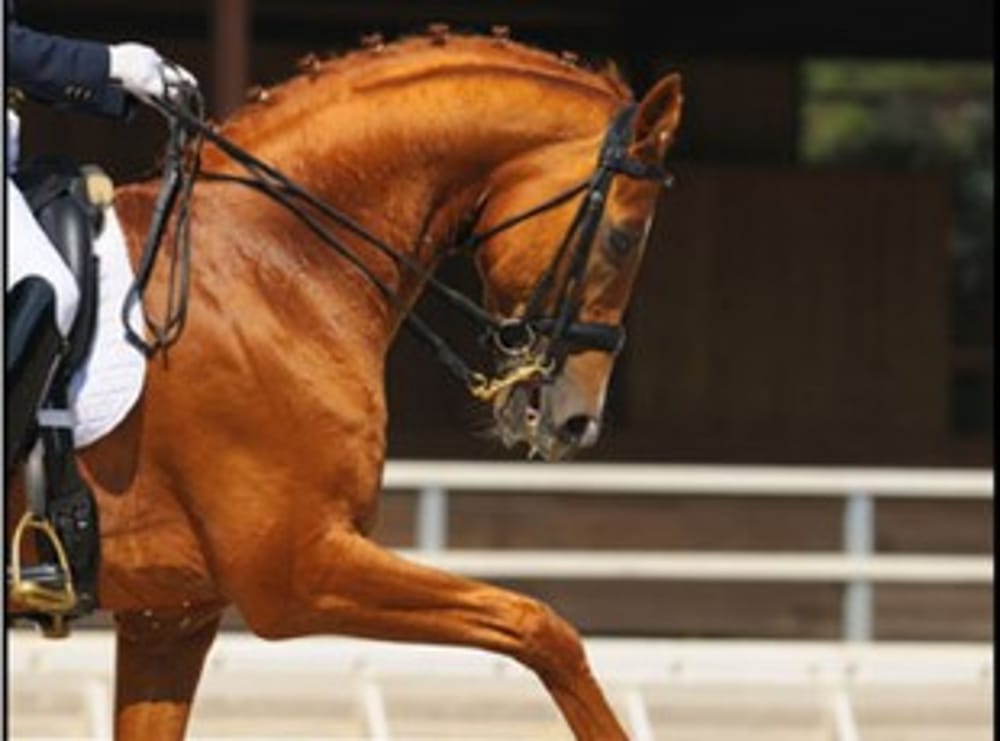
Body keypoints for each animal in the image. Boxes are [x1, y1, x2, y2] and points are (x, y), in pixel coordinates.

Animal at [11, 31, 680, 736]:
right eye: (624, 237)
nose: (578, 420)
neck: (274, 261)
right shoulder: (297, 574)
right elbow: (540, 627)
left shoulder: (170, 616)